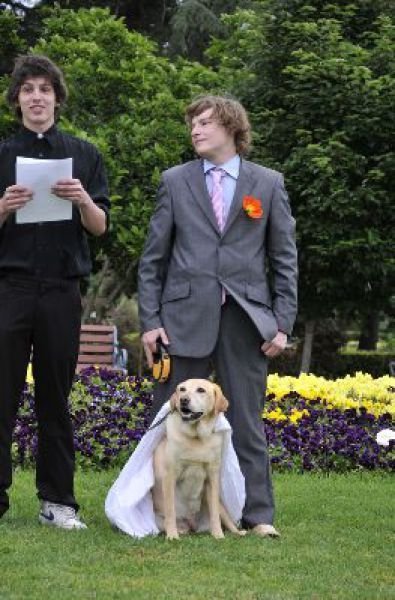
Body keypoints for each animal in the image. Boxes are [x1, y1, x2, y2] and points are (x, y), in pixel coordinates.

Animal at [151, 380, 244, 540]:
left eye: (201, 390)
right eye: (182, 389)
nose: (183, 400)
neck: (196, 437)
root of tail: (192, 525)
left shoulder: (212, 477)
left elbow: (214, 514)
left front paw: (218, 535)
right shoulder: (169, 476)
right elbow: (170, 511)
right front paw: (172, 536)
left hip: (221, 506)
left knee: (228, 521)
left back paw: (239, 532)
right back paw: (179, 531)